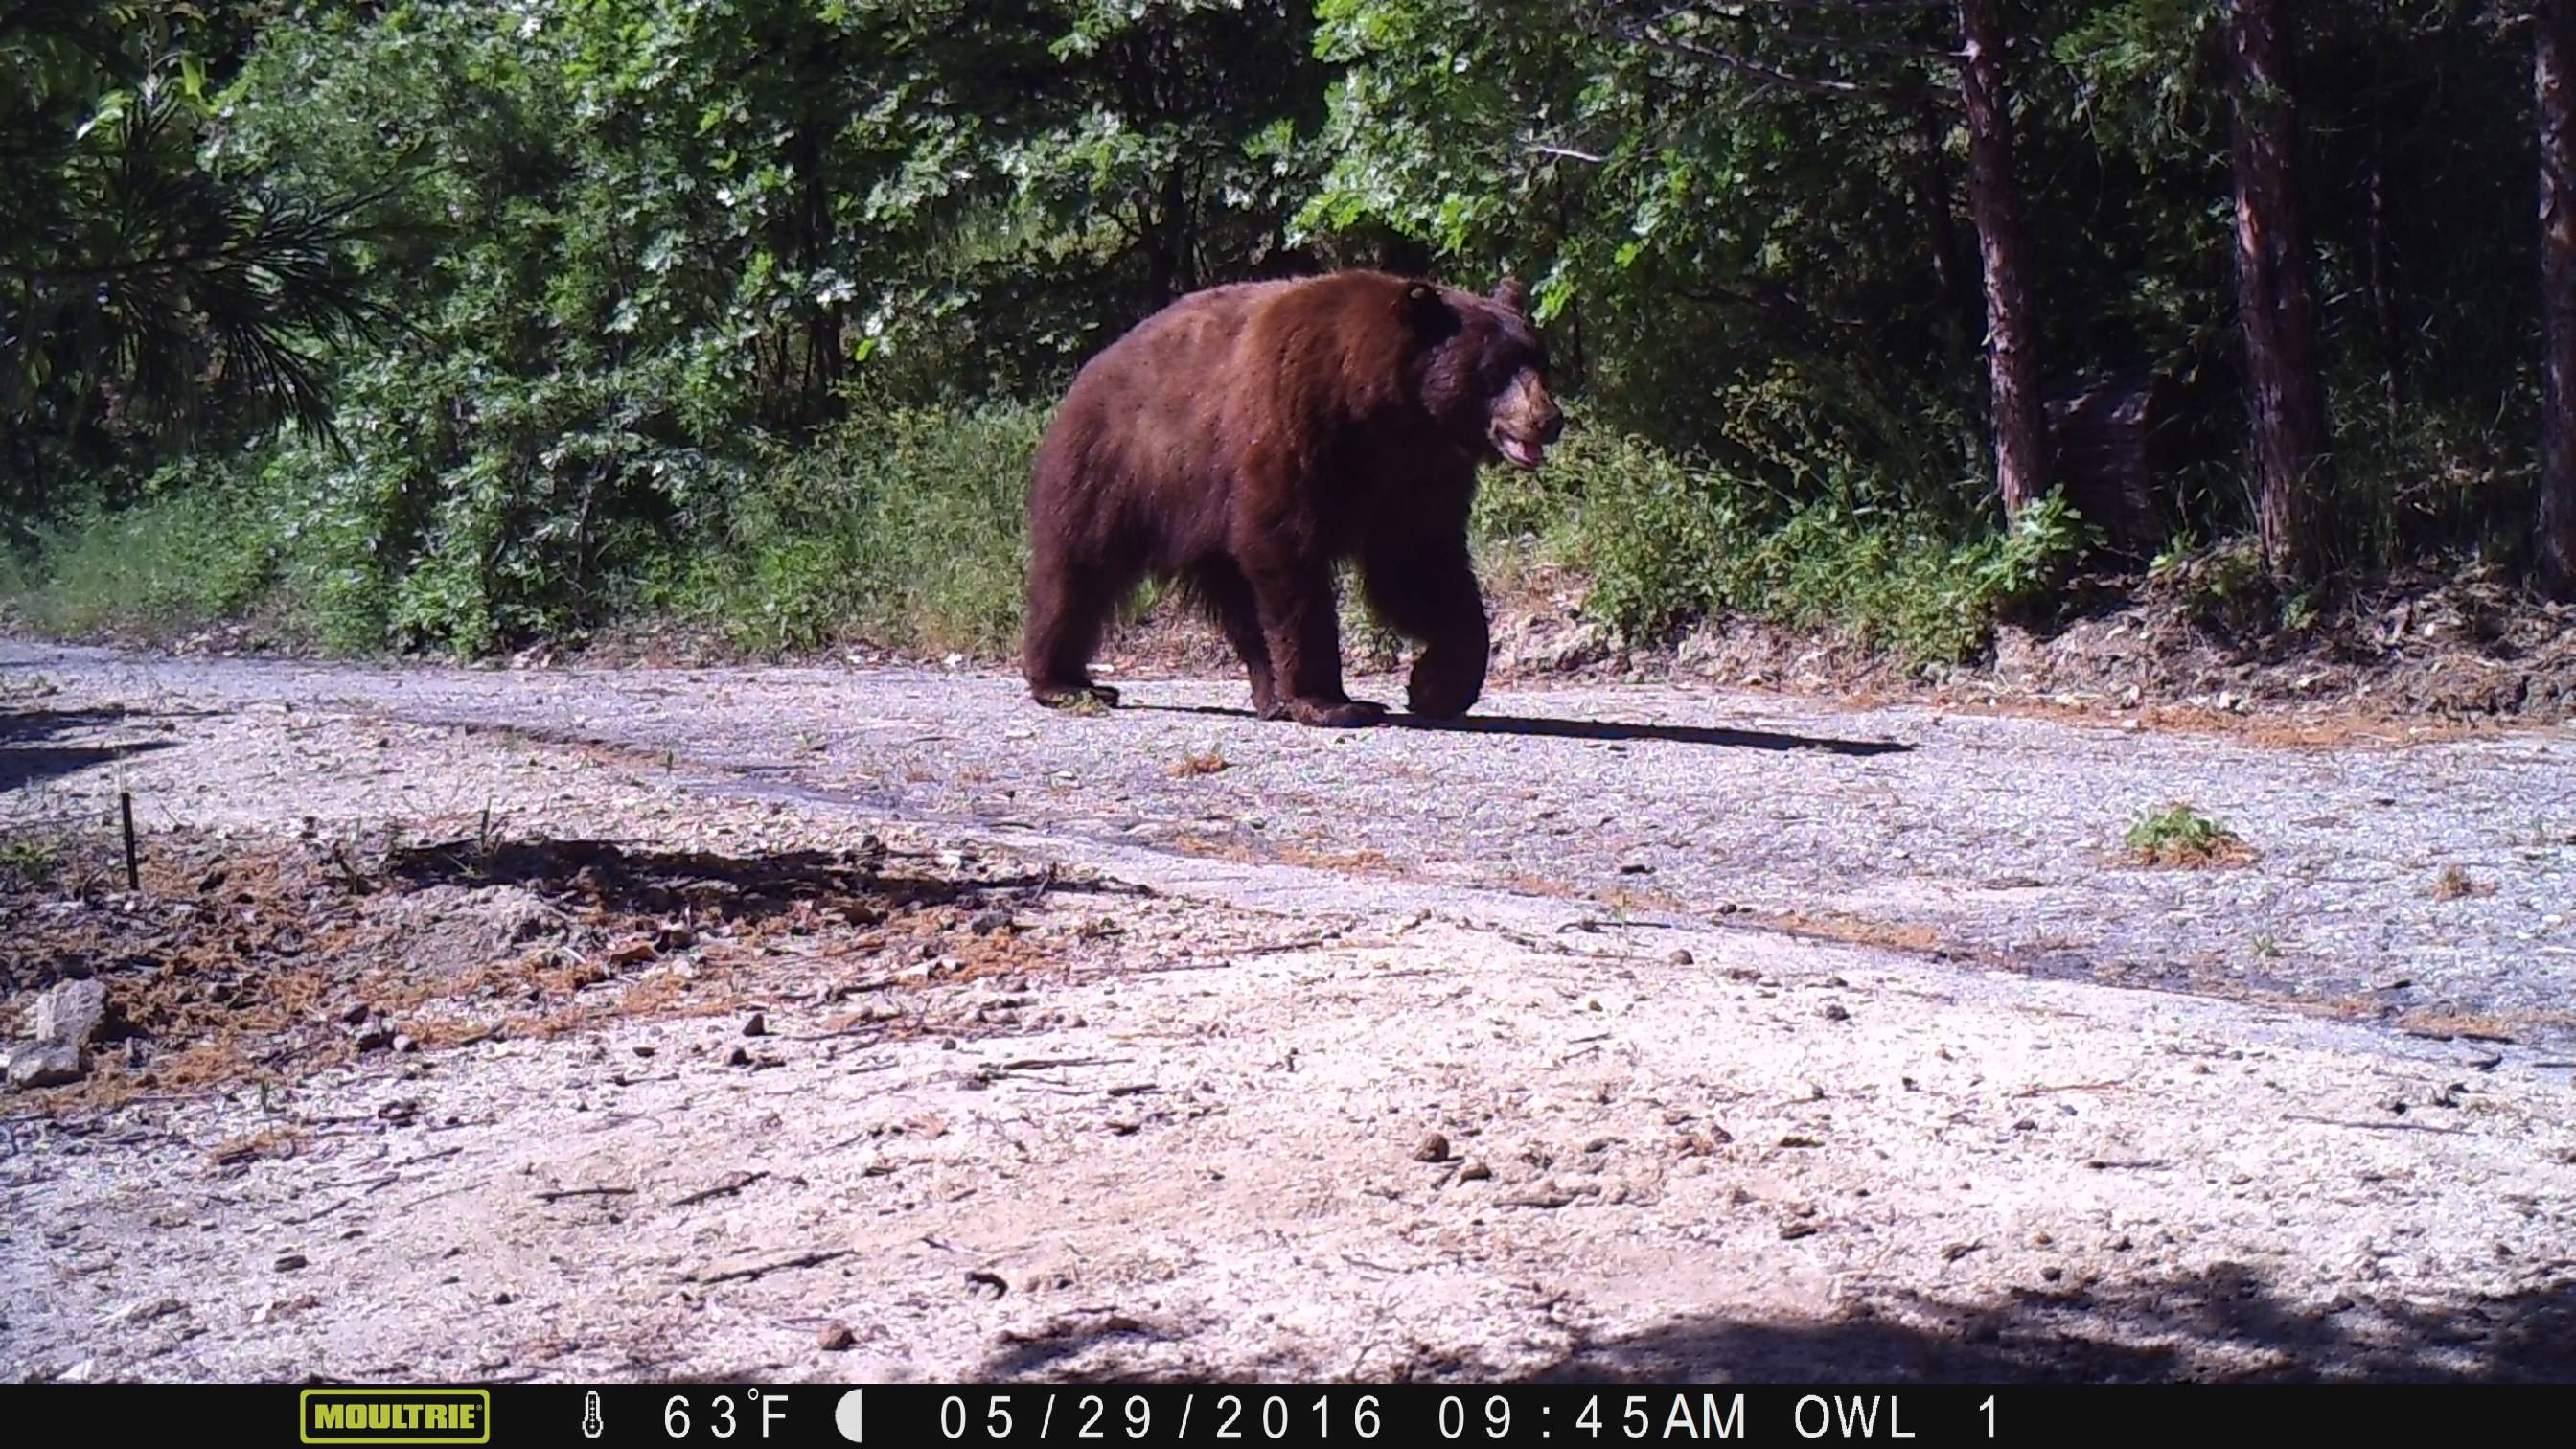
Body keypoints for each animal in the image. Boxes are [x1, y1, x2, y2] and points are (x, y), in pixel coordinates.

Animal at [1020, 270, 1563, 727]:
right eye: (1495, 369)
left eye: (1540, 361)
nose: (1548, 419)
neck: (1387, 414)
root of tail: (1093, 367)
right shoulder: (1294, 429)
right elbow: (1290, 556)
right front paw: (1333, 703)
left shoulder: (1418, 475)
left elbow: (1421, 567)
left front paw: (1435, 687)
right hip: (1118, 470)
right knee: (1079, 571)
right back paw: (1068, 684)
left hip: (1206, 516)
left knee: (1239, 604)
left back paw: (1272, 695)